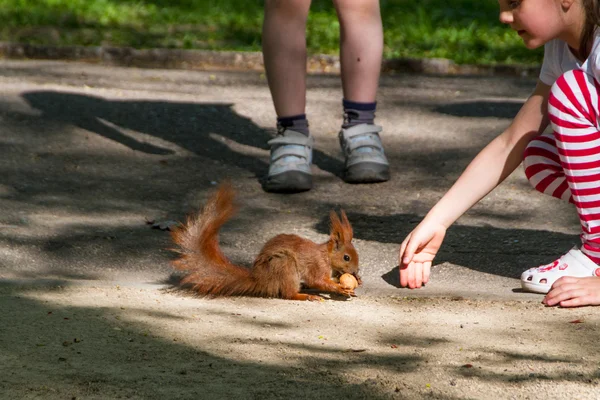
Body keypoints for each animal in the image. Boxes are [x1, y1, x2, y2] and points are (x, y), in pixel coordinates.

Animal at [170, 184, 360, 300]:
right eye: (346, 257)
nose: (356, 271)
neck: (326, 256)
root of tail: (261, 280)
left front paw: (357, 280)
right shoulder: (316, 265)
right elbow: (318, 280)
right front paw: (339, 288)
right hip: (284, 264)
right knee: (288, 293)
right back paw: (306, 296)